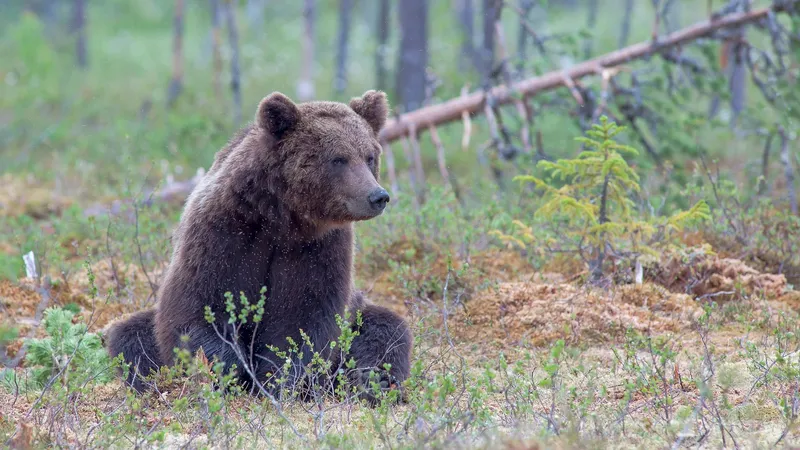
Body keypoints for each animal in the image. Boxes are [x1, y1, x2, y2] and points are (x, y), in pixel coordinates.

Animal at [104, 90, 412, 405]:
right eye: (338, 159)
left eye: (369, 156)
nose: (377, 196)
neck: (281, 216)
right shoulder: (223, 233)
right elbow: (199, 306)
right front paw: (227, 371)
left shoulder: (319, 248)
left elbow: (305, 318)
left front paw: (278, 381)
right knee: (132, 336)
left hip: (360, 310)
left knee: (385, 330)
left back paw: (371, 380)